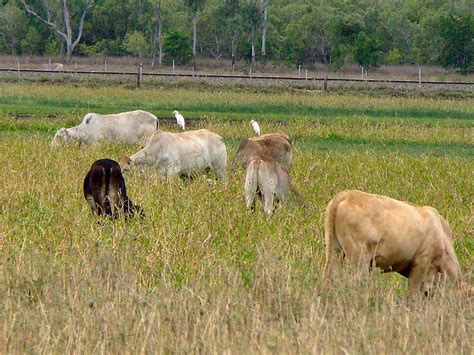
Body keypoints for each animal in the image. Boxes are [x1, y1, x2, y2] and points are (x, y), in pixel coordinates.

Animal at [322, 191, 466, 296]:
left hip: (334, 251)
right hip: (359, 257)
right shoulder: (422, 262)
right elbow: (412, 293)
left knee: (329, 276)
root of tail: (345, 195)